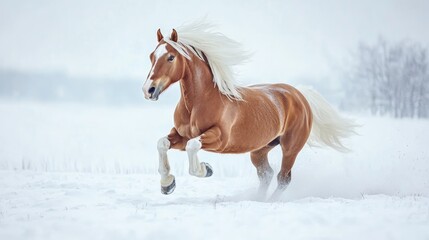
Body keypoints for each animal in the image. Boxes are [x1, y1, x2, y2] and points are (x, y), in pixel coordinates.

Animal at [142, 21, 356, 201]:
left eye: (170, 57)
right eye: (152, 56)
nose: (148, 90)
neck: (199, 103)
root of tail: (298, 94)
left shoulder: (219, 138)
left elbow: (192, 146)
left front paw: (206, 169)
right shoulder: (180, 134)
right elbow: (162, 144)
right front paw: (167, 184)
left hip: (290, 148)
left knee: (283, 178)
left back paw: (269, 201)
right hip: (260, 149)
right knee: (266, 174)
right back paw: (258, 199)